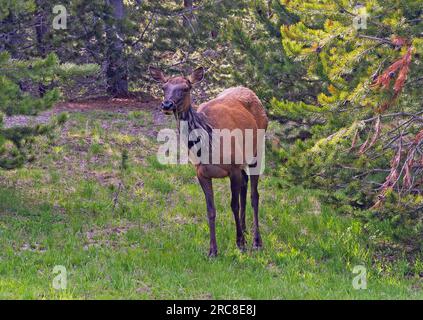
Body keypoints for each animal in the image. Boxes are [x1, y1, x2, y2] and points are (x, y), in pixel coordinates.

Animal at [149, 66, 268, 256]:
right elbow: (210, 210)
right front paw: (213, 250)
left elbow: (233, 205)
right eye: (163, 87)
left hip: (257, 150)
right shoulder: (202, 173)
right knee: (245, 183)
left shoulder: (232, 168)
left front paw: (240, 242)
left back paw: (256, 240)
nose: (167, 105)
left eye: (186, 88)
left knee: (254, 195)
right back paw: (244, 229)